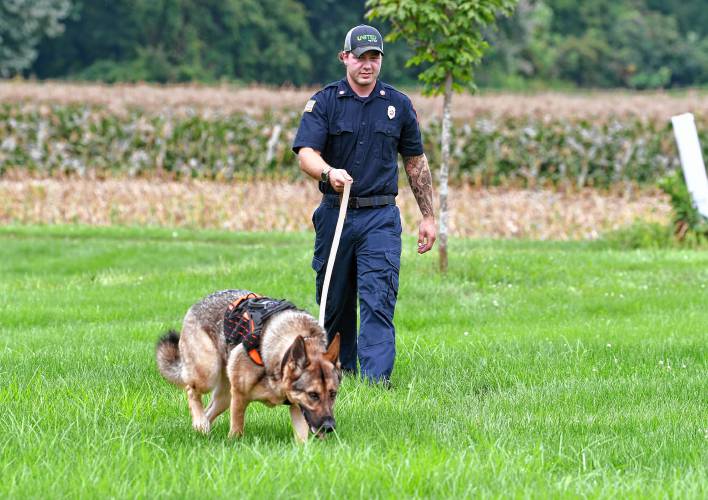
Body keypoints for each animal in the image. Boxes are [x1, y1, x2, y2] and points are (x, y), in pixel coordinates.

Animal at [156, 290, 342, 442]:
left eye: (333, 394)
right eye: (313, 395)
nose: (329, 427)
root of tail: (197, 304)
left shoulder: (298, 406)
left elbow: (302, 439)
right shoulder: (239, 395)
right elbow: (237, 427)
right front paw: (233, 443)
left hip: (224, 397)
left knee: (208, 411)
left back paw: (201, 428)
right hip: (207, 373)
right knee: (190, 390)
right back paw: (200, 422)